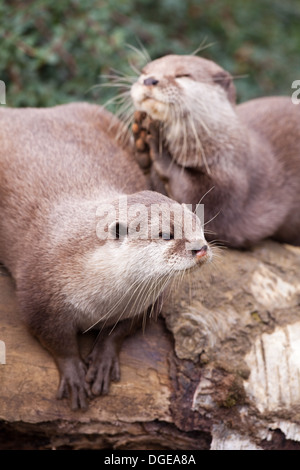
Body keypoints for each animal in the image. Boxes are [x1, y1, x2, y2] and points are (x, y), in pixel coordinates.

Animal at [0, 102, 211, 408]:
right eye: (166, 234)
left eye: (197, 223)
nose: (201, 248)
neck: (100, 301)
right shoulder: (39, 293)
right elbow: (55, 339)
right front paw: (74, 374)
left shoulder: (146, 303)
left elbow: (122, 329)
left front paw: (103, 360)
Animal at [131, 53, 300, 248]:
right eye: (144, 72)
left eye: (183, 75)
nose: (149, 80)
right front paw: (140, 141)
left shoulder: (233, 181)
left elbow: (199, 201)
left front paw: (156, 141)